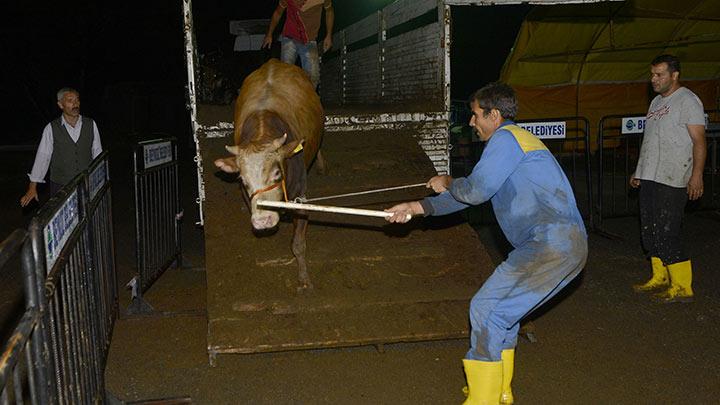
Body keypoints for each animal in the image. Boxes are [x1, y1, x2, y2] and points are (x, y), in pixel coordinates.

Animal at [215, 59, 324, 290]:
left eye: (276, 173)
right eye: (243, 180)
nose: (263, 220)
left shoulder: (301, 196)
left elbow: (298, 244)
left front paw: (304, 279)